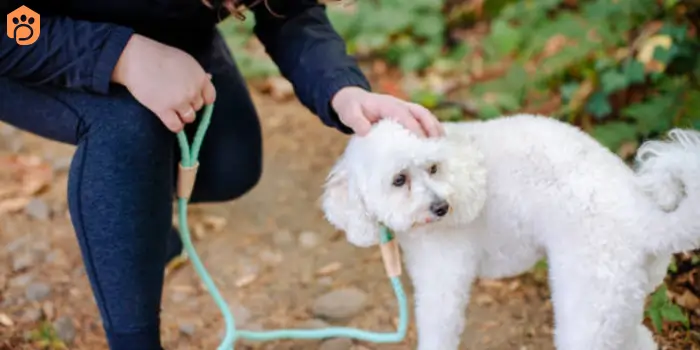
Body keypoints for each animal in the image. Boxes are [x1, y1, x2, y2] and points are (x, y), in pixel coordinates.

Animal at [322, 113, 700, 348]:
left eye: (433, 168)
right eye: (399, 180)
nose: (442, 208)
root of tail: (641, 215)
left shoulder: (443, 280)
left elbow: (439, 329)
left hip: (590, 300)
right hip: (619, 300)